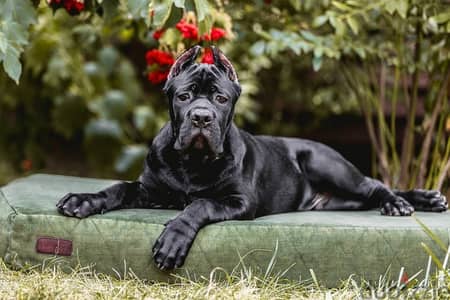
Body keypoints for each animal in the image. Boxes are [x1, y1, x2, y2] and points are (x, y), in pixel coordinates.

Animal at [57, 45, 446, 270]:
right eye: (184, 97)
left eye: (220, 98)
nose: (202, 118)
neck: (192, 163)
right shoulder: (151, 190)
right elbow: (118, 188)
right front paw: (83, 199)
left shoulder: (238, 200)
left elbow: (198, 205)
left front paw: (173, 239)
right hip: (340, 200)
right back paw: (427, 199)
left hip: (329, 165)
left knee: (377, 185)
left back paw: (402, 203)